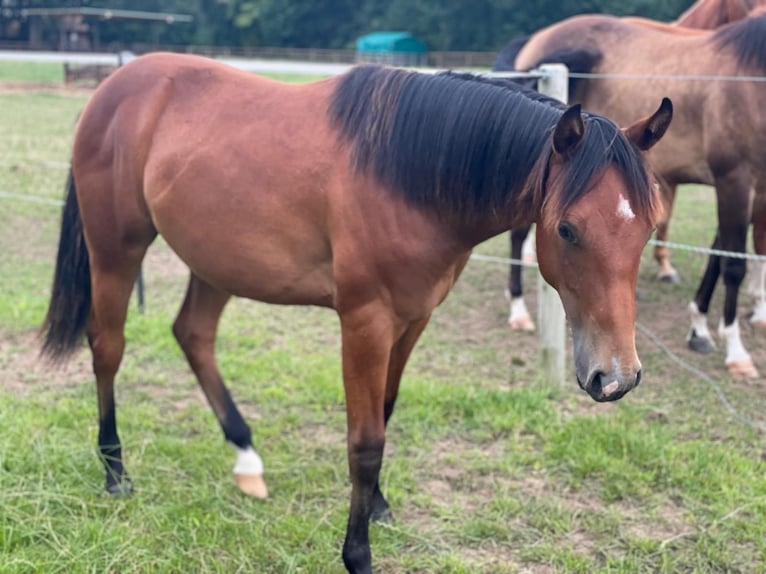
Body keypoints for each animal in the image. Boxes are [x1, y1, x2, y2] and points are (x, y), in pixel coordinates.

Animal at [40, 52, 671, 573]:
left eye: (647, 226)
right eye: (566, 229)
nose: (616, 376)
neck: (403, 172)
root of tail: (117, 85)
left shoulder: (414, 319)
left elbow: (386, 414)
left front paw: (379, 506)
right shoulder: (365, 323)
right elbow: (364, 441)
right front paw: (357, 552)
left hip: (215, 263)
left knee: (193, 335)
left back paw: (246, 457)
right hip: (116, 250)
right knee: (108, 346)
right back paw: (115, 471)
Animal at [502, 14, 766, 379]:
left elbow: (731, 252)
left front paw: (701, 327)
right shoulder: (734, 180)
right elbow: (733, 264)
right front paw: (736, 351)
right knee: (517, 234)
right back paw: (518, 310)